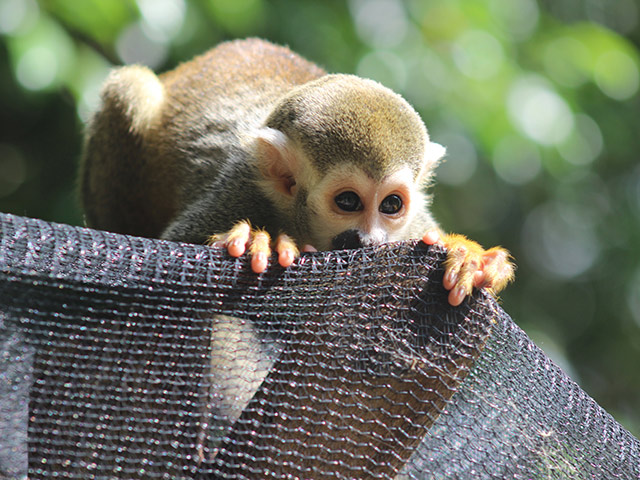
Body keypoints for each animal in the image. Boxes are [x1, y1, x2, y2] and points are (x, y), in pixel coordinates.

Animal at [80, 38, 515, 460]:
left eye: (391, 205)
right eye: (348, 201)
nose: (370, 240)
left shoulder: (415, 228)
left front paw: (471, 259)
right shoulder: (241, 187)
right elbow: (171, 264)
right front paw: (262, 242)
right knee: (131, 88)